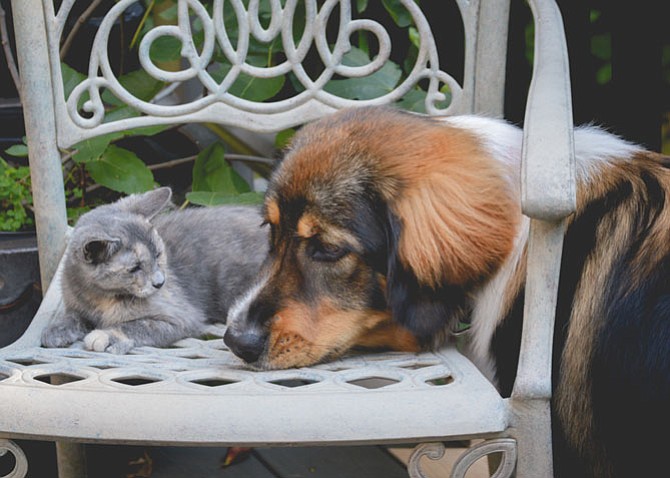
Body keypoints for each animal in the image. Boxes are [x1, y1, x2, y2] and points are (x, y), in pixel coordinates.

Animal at [40, 187, 268, 354]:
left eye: (158, 254)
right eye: (135, 268)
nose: (160, 282)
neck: (101, 298)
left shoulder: (181, 317)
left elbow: (137, 325)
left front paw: (106, 336)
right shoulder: (77, 306)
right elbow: (73, 316)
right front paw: (56, 330)